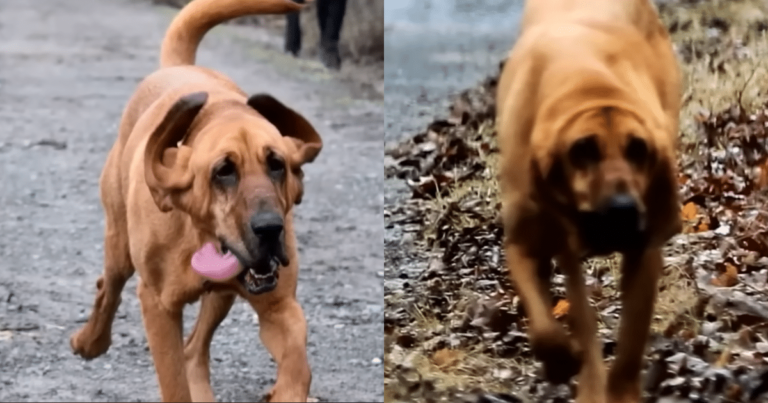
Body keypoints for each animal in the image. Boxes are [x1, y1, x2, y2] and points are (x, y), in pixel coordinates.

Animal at [67, 0, 326, 400]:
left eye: (277, 165)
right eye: (223, 171)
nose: (270, 229)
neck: (199, 235)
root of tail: (179, 66)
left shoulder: (279, 307)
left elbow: (297, 361)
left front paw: (285, 390)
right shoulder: (158, 307)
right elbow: (173, 382)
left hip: (221, 296)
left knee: (195, 349)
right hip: (119, 245)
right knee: (108, 288)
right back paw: (90, 341)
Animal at [498, 0, 684, 403]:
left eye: (639, 149)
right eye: (582, 150)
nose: (622, 212)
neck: (588, 85)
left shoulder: (644, 250)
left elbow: (631, 339)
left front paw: (620, 390)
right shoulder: (523, 243)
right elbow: (549, 327)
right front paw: (561, 362)